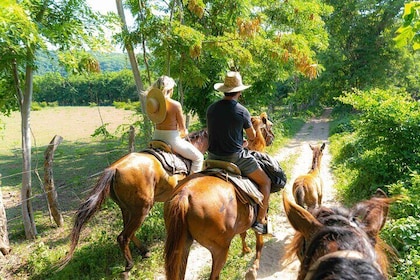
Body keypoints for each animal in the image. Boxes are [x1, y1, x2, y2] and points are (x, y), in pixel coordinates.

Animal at [58, 130, 209, 272]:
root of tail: (114, 169)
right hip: (142, 209)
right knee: (123, 236)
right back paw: (129, 264)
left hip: (128, 209)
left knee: (128, 232)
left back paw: (144, 251)